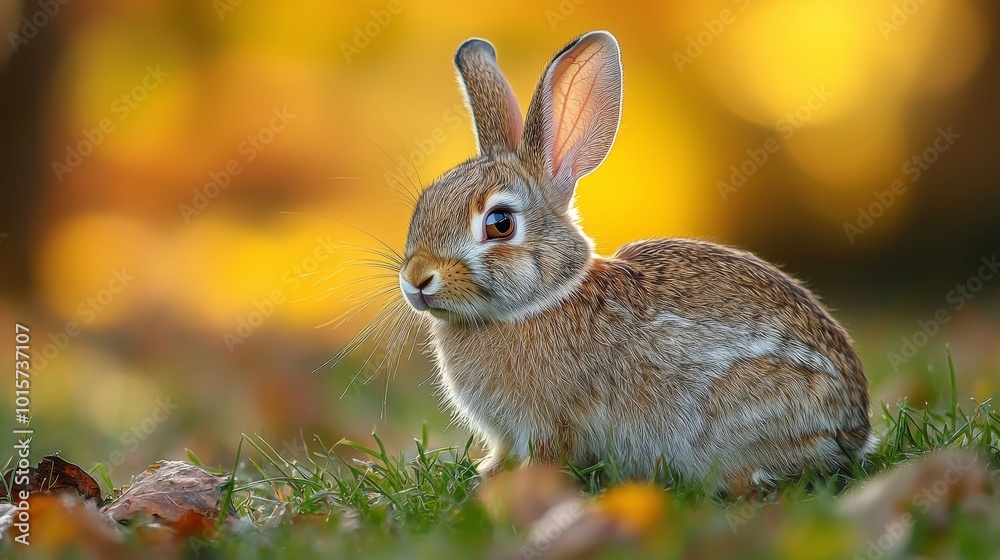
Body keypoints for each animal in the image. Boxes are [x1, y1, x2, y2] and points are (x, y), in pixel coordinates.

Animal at [396, 30, 876, 493]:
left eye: (499, 224)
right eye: (424, 204)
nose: (417, 279)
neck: (539, 302)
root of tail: (854, 424)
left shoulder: (553, 421)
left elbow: (549, 455)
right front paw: (489, 474)